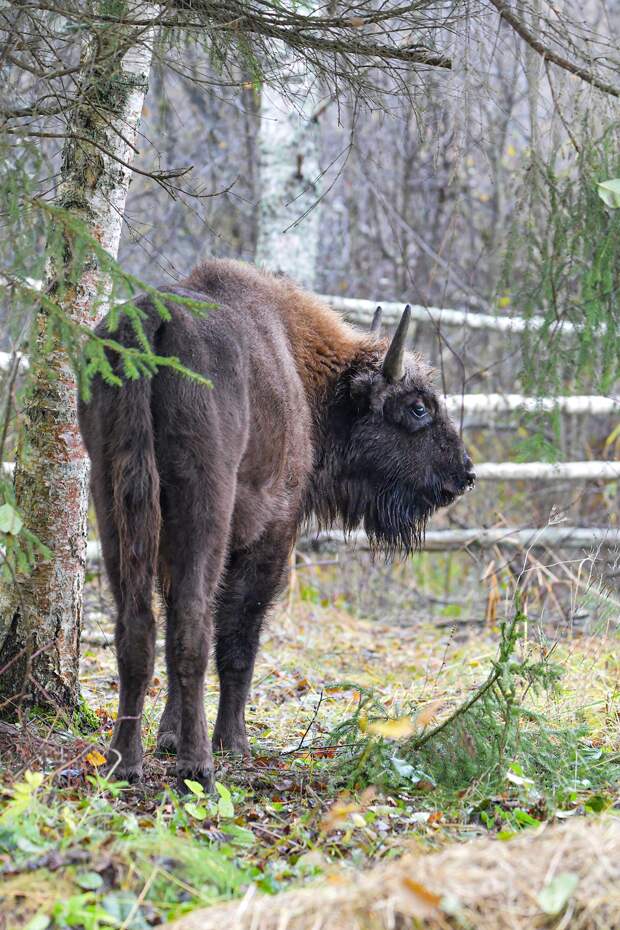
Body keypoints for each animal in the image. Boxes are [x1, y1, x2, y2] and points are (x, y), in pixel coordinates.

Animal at [77, 258, 474, 788]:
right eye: (418, 407)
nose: (465, 473)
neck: (304, 377)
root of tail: (152, 321)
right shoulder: (274, 533)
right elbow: (239, 639)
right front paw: (233, 742)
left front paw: (169, 735)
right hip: (205, 504)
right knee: (194, 626)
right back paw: (199, 766)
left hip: (111, 494)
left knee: (136, 625)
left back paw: (125, 760)